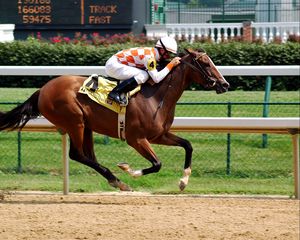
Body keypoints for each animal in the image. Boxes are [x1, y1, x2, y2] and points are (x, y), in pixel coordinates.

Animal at [0, 48, 230, 191]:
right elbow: (157, 164)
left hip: (86, 126)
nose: (225, 84)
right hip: (75, 122)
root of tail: (42, 90)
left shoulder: (159, 135)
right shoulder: (136, 139)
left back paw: (115, 180)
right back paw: (118, 180)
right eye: (205, 63)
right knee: (77, 155)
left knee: (88, 156)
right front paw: (129, 170)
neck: (157, 97)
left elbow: (188, 145)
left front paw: (183, 181)